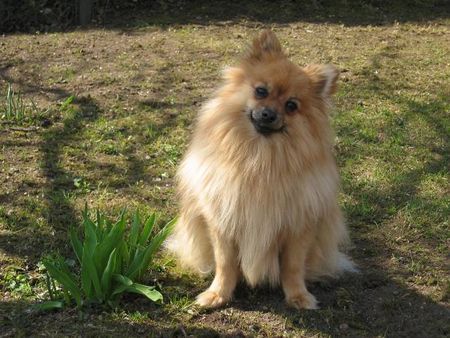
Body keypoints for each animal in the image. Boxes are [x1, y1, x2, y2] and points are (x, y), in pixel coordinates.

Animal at [167, 30, 354, 310]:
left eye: (291, 105)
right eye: (261, 91)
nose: (268, 114)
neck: (259, 158)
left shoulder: (298, 225)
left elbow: (292, 266)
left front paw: (298, 296)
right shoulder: (223, 220)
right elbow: (225, 264)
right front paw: (218, 294)